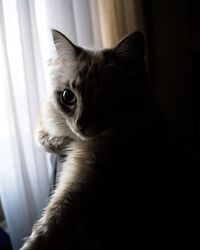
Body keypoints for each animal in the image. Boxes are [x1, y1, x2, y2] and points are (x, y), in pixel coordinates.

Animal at [20, 29, 162, 250]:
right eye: (68, 97)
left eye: (106, 100)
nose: (81, 125)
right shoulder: (47, 123)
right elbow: (43, 137)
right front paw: (59, 143)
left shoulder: (86, 171)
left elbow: (54, 216)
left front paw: (32, 244)